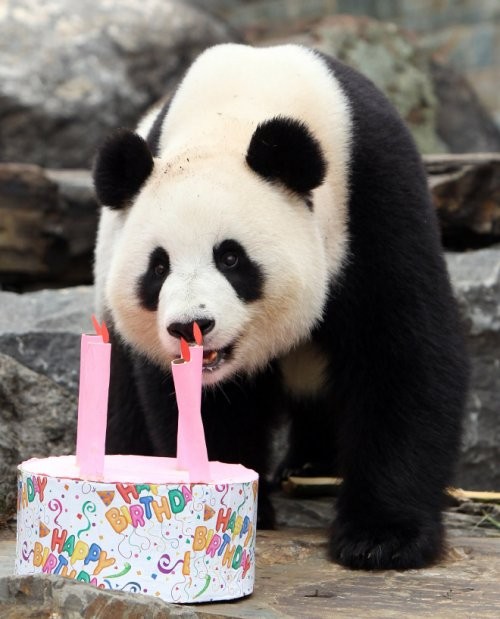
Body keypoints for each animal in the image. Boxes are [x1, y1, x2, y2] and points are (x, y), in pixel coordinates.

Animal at [93, 43, 468, 570]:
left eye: (231, 257)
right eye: (158, 267)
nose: (192, 326)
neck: (238, 108)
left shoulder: (375, 195)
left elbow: (404, 354)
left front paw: (382, 538)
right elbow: (198, 404)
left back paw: (313, 470)